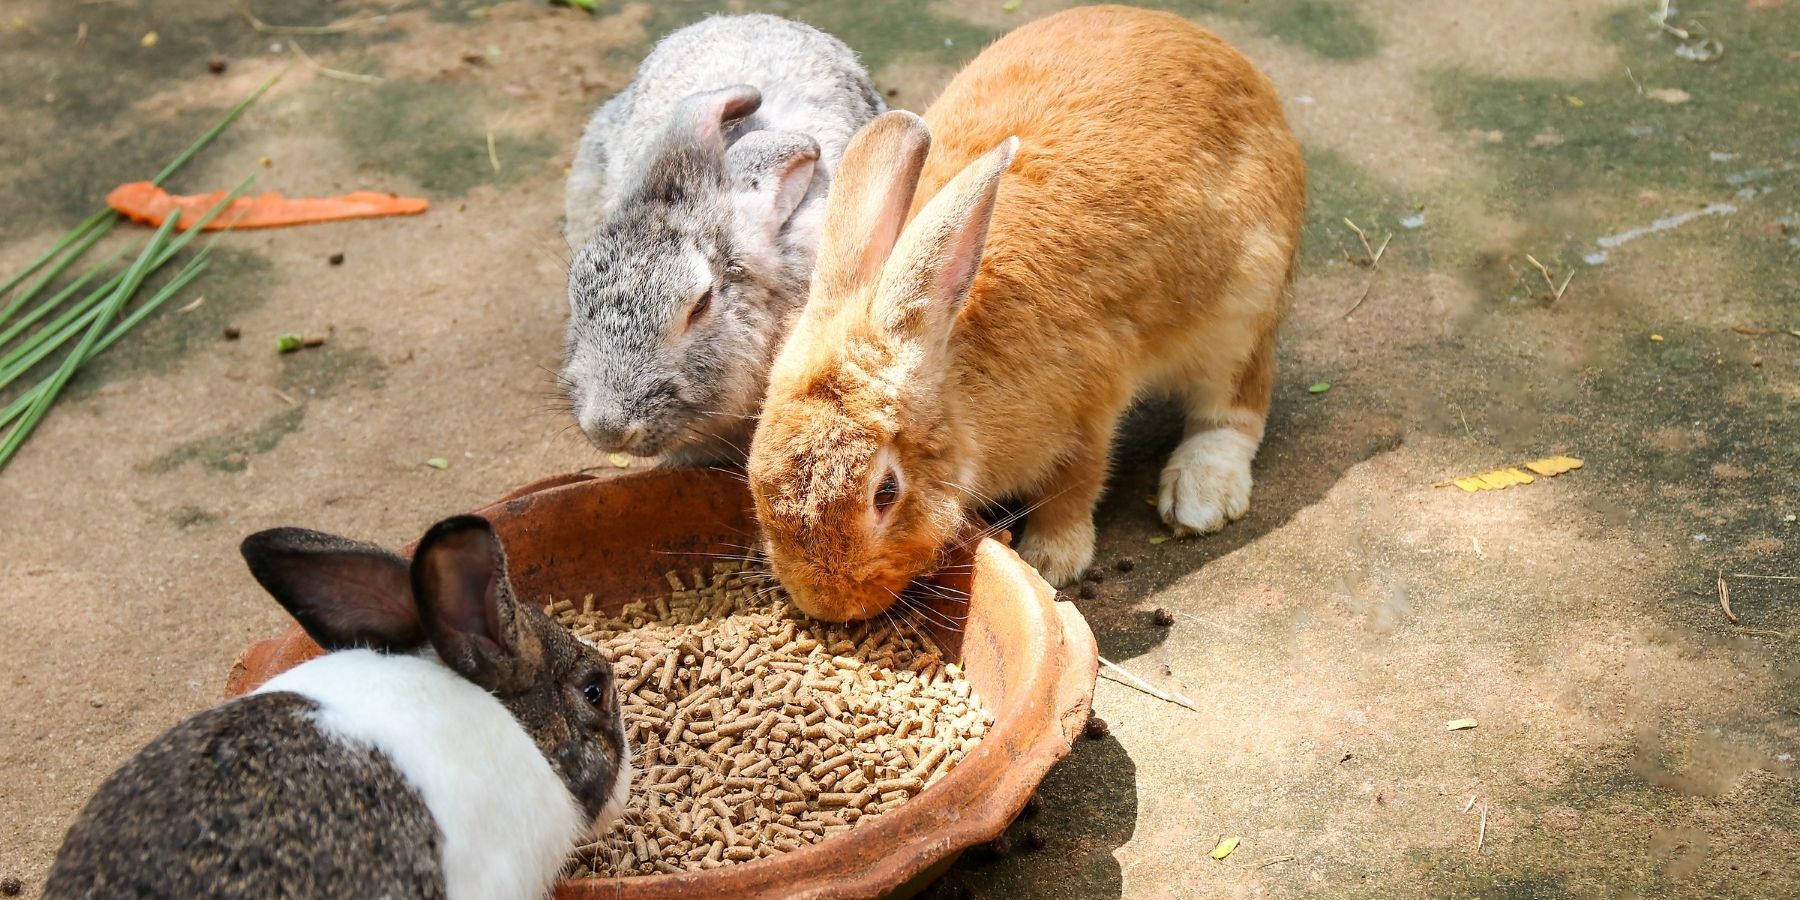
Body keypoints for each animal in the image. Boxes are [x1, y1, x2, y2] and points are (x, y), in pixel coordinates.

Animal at [746, 5, 1306, 621]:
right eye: (755, 473)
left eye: (885, 493)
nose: (825, 602)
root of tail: (1238, 66)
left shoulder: (1087, 408)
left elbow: (1075, 485)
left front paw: (1051, 562)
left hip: (1243, 309)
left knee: (1235, 407)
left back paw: (1200, 496)